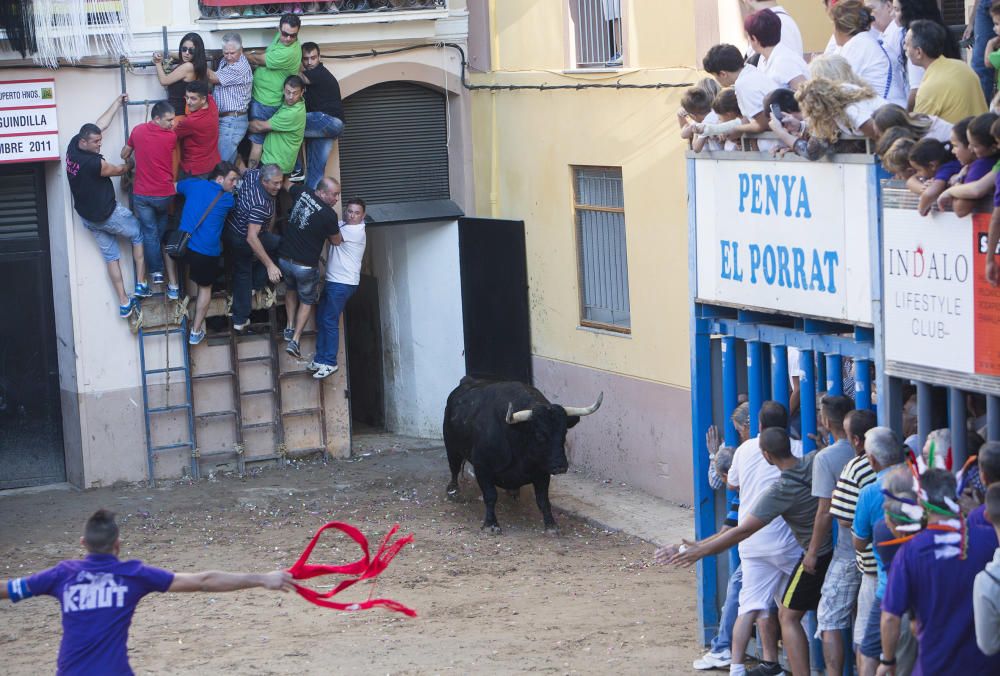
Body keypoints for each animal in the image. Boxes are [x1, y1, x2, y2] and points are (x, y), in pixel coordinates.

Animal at [444, 378, 600, 532]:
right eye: (539, 435)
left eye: (564, 433)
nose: (560, 466)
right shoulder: (482, 467)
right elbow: (490, 495)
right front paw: (491, 524)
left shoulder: (542, 472)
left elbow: (543, 500)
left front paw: (551, 524)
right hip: (452, 448)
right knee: (454, 469)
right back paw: (453, 491)